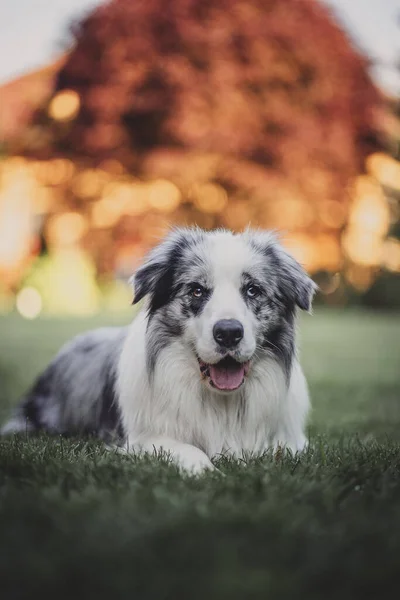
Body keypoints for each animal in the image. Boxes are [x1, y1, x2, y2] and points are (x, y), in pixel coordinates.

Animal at [1, 229, 318, 474]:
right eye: (197, 290)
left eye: (253, 290)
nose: (228, 332)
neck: (221, 402)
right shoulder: (143, 438)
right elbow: (187, 450)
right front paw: (205, 470)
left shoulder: (290, 442)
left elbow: (279, 451)